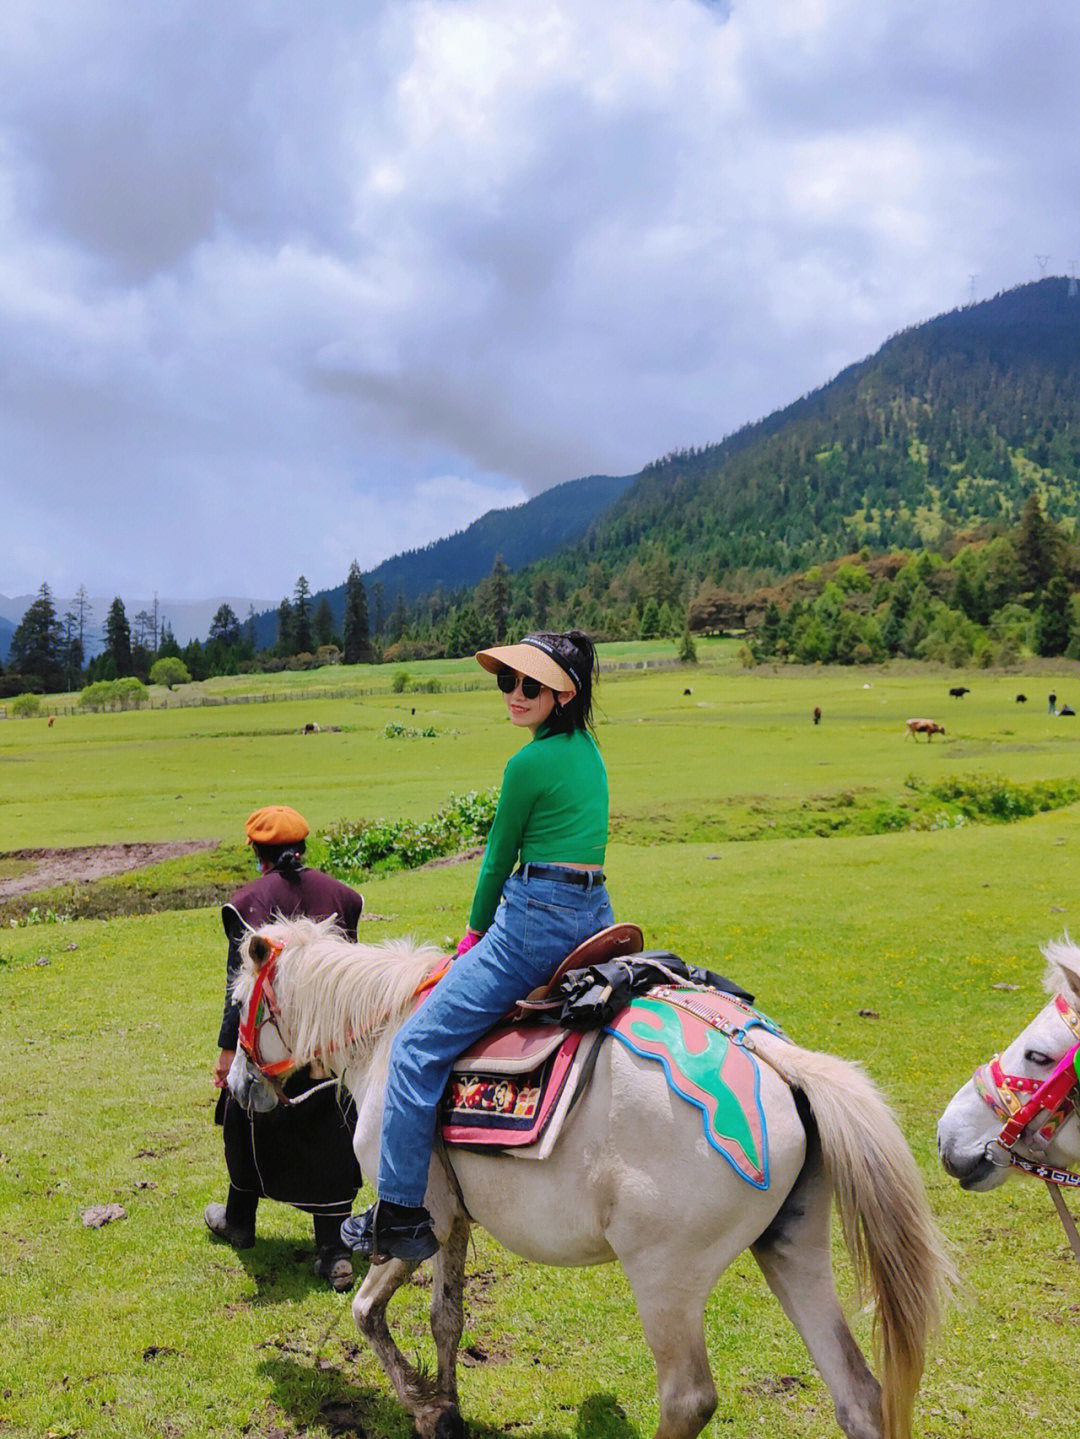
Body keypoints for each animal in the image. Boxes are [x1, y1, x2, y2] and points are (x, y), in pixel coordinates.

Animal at [230, 915, 954, 1439]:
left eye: (238, 1003)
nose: (238, 1087)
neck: (388, 1035)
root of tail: (769, 1054)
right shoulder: (453, 1219)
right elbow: (447, 1317)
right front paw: (449, 1408)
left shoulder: (413, 1217)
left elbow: (365, 1310)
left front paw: (426, 1407)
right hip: (793, 1247)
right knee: (858, 1394)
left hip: (666, 1277)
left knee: (687, 1398)